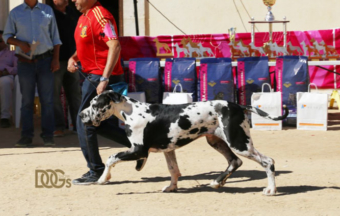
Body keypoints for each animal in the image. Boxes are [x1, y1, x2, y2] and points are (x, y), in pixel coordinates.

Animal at [81, 90, 288, 195]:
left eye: (95, 104)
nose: (81, 115)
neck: (132, 111)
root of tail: (238, 105)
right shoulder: (167, 149)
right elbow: (173, 170)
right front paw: (172, 187)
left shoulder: (138, 151)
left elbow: (110, 157)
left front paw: (103, 178)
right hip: (218, 142)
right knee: (234, 162)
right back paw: (217, 182)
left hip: (239, 143)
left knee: (267, 161)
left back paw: (271, 190)